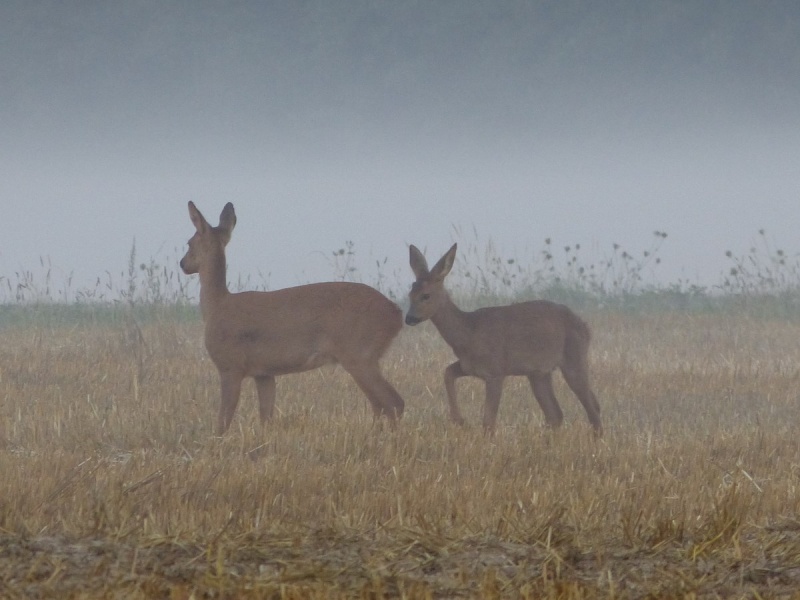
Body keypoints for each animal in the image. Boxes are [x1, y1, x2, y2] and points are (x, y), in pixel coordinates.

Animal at [181, 204, 406, 434]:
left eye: (189, 243)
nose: (183, 264)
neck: (216, 305)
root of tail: (396, 314)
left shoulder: (230, 365)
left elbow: (223, 420)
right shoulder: (264, 373)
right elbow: (266, 417)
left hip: (359, 353)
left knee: (392, 402)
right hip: (365, 356)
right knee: (380, 405)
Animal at [406, 243, 600, 436]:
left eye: (426, 295)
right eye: (410, 294)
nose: (409, 318)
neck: (469, 332)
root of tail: (585, 326)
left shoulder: (495, 370)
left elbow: (488, 421)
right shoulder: (469, 366)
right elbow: (447, 372)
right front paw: (459, 420)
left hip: (574, 357)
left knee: (592, 405)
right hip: (538, 372)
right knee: (555, 413)